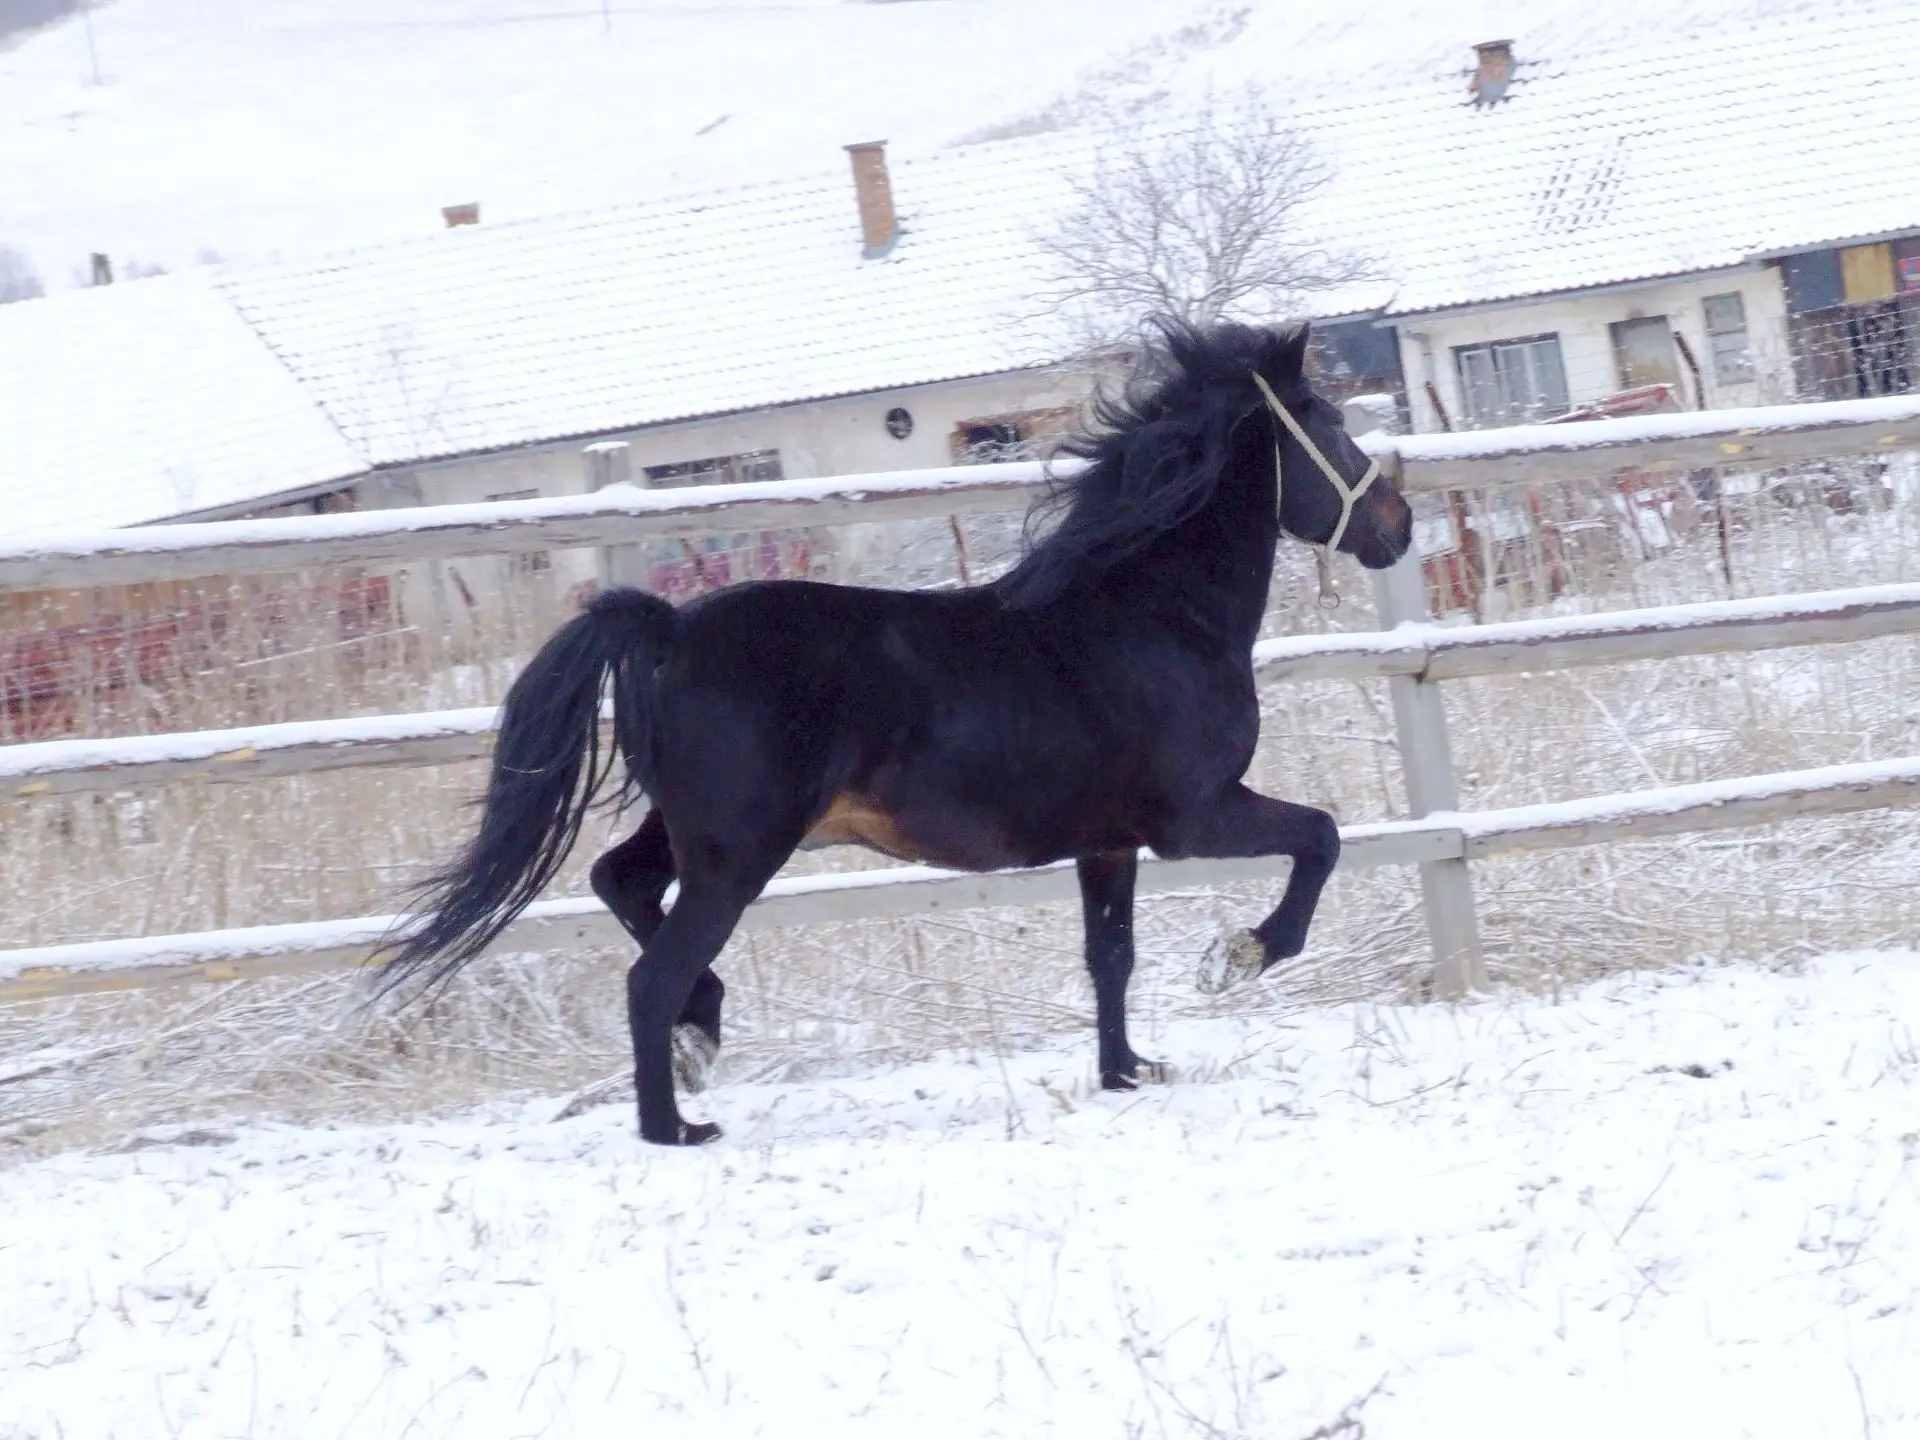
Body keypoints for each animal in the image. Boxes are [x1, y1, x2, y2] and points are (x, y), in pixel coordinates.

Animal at [382, 320, 1420, 1144]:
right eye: (1329, 422)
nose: (1400, 525)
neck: (1153, 614)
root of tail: (669, 629)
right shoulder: (1194, 818)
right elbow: (1321, 838)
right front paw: (1236, 959)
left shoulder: (1110, 843)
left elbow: (1110, 957)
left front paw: (1128, 1071)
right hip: (737, 851)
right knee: (651, 974)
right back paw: (675, 1125)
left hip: (689, 834)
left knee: (619, 884)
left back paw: (700, 1042)